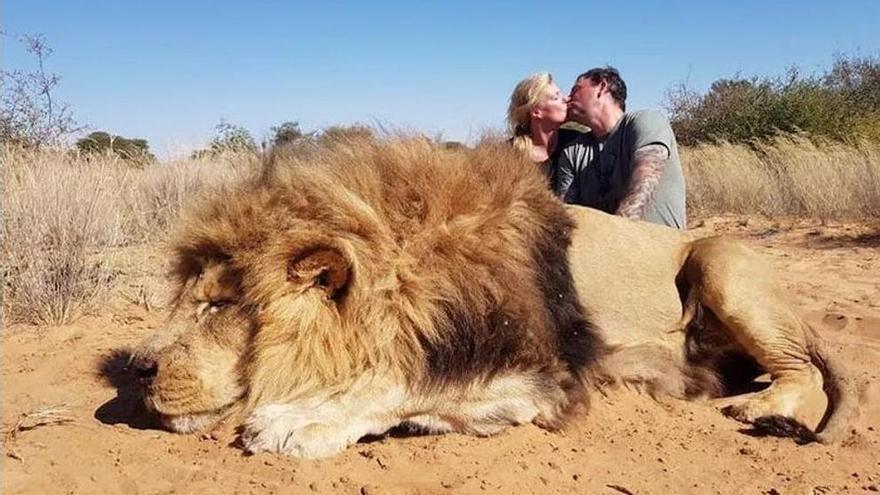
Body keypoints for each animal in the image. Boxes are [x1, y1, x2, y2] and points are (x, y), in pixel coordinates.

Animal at [129, 138, 860, 460]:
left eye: (220, 305)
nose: (139, 368)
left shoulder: (548, 375)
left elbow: (402, 382)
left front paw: (298, 421)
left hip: (720, 259)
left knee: (801, 369)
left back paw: (762, 408)